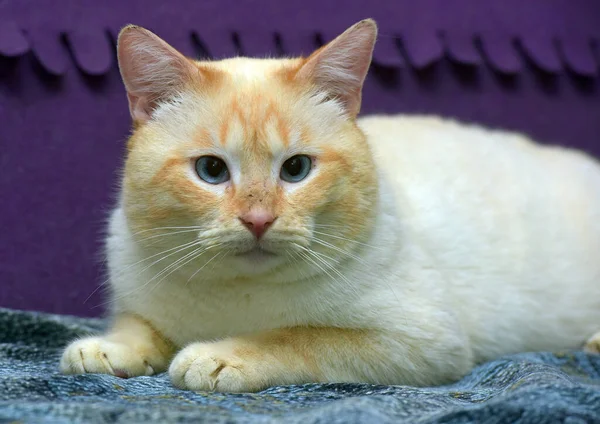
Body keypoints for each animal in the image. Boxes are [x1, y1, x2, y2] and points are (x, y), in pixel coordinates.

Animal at [59, 19, 600, 390]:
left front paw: (218, 357)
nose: (258, 220)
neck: (235, 296)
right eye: (211, 171)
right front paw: (107, 350)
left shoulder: (420, 342)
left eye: (296, 169)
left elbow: (299, 336)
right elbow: (138, 326)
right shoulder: (138, 300)